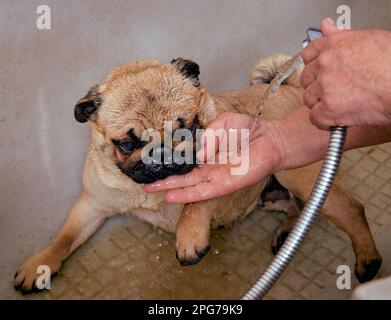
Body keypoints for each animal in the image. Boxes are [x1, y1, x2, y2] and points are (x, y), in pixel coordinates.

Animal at [14, 54, 382, 292]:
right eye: (127, 143)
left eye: (186, 127)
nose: (162, 154)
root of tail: (289, 88)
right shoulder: (92, 205)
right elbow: (64, 237)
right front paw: (39, 265)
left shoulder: (224, 171)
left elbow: (197, 203)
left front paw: (189, 235)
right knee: (306, 208)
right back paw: (288, 231)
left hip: (295, 170)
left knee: (347, 208)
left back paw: (368, 260)